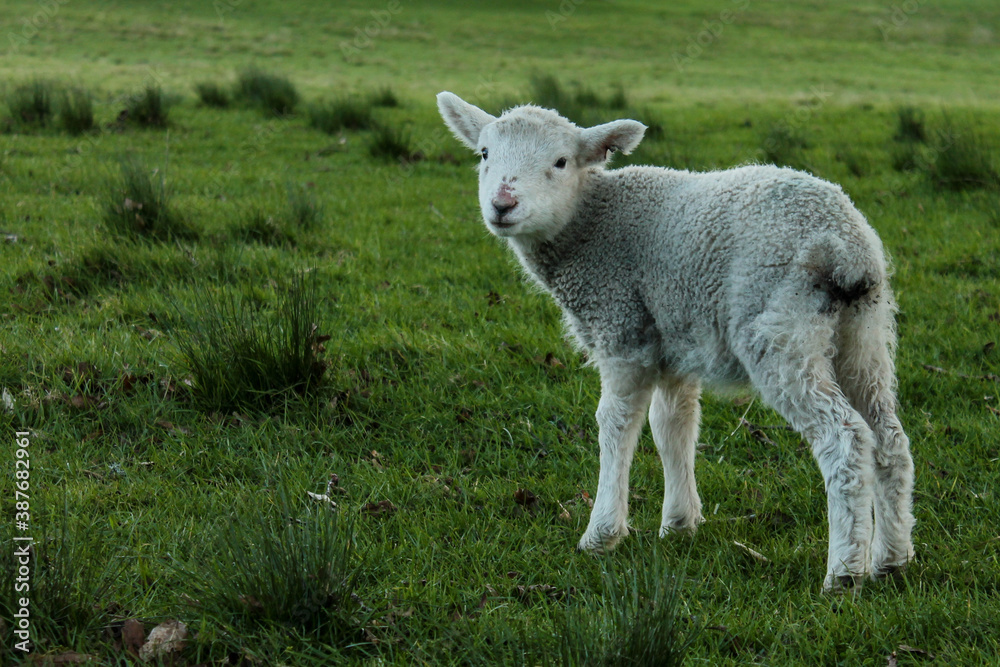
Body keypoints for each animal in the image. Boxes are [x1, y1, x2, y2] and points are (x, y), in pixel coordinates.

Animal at [436, 91, 915, 590]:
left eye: (561, 161)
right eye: (484, 154)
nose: (502, 204)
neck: (591, 225)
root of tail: (846, 248)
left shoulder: (622, 327)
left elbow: (616, 425)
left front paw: (602, 533)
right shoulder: (674, 341)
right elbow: (673, 426)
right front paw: (680, 524)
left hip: (780, 330)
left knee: (844, 439)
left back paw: (844, 571)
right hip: (865, 334)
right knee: (889, 438)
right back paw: (891, 559)